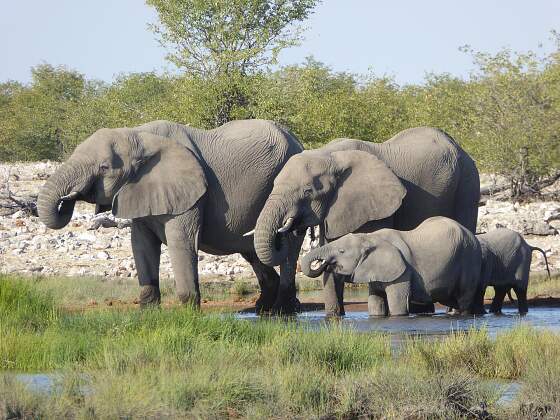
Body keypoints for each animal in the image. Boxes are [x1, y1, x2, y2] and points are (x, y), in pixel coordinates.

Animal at [37, 118, 304, 312]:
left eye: (104, 167)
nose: (68, 198)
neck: (139, 135)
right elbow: (141, 245)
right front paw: (148, 314)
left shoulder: (191, 194)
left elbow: (181, 242)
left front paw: (188, 315)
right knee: (252, 249)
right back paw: (262, 308)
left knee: (288, 247)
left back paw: (283, 310)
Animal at [302, 217, 486, 316]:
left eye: (341, 251)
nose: (326, 264)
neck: (369, 237)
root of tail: (474, 236)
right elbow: (375, 304)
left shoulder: (402, 272)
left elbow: (397, 304)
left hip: (470, 258)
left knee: (464, 298)